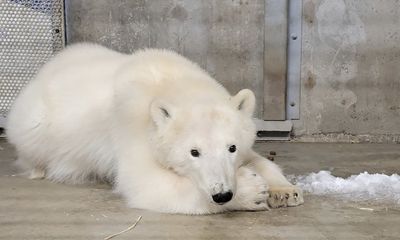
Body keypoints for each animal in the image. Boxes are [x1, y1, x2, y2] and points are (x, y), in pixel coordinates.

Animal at [6, 43, 304, 214]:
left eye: (231, 147)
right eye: (194, 152)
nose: (222, 194)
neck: (171, 81)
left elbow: (257, 158)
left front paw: (284, 191)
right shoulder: (131, 126)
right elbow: (146, 183)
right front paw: (252, 191)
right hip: (36, 125)